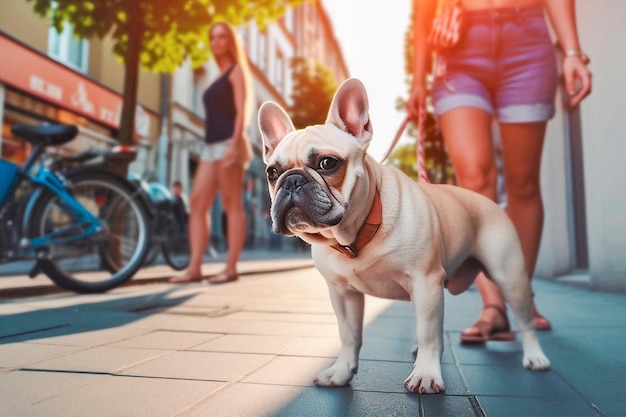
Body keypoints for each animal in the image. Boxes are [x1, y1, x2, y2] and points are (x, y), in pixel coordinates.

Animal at [256, 78, 548, 394]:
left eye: (327, 163)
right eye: (273, 172)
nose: (292, 180)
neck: (356, 235)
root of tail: (489, 202)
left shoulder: (425, 281)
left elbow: (428, 332)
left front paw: (426, 374)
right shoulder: (343, 294)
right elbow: (349, 335)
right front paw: (342, 372)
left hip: (509, 275)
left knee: (524, 320)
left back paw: (535, 356)